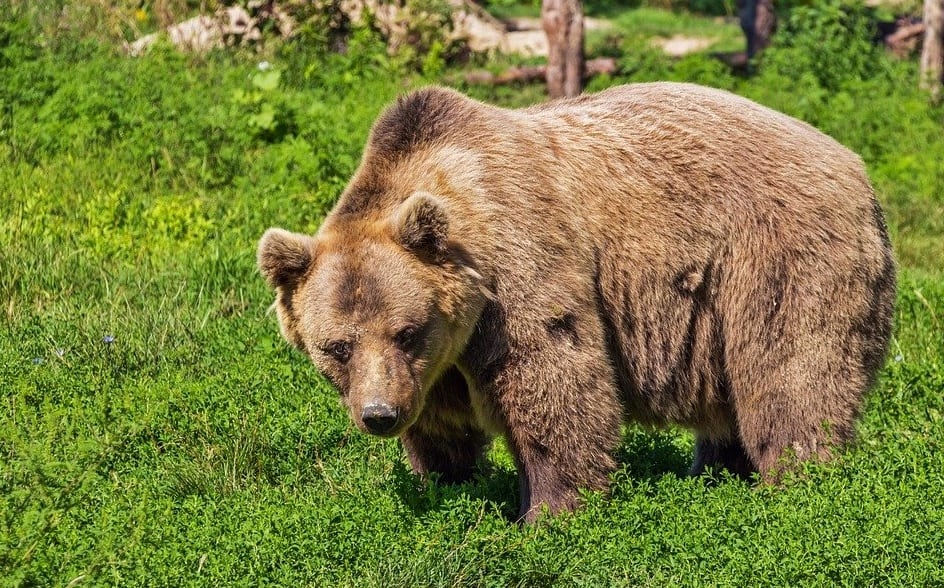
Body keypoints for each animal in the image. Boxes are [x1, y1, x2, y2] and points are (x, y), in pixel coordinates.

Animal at [257, 83, 896, 522]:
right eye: (337, 347)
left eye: (406, 330)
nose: (379, 415)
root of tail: (857, 167)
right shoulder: (436, 363)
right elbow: (441, 424)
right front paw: (448, 482)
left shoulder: (518, 270)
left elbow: (554, 382)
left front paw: (548, 512)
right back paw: (715, 473)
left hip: (776, 258)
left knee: (791, 375)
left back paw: (797, 483)